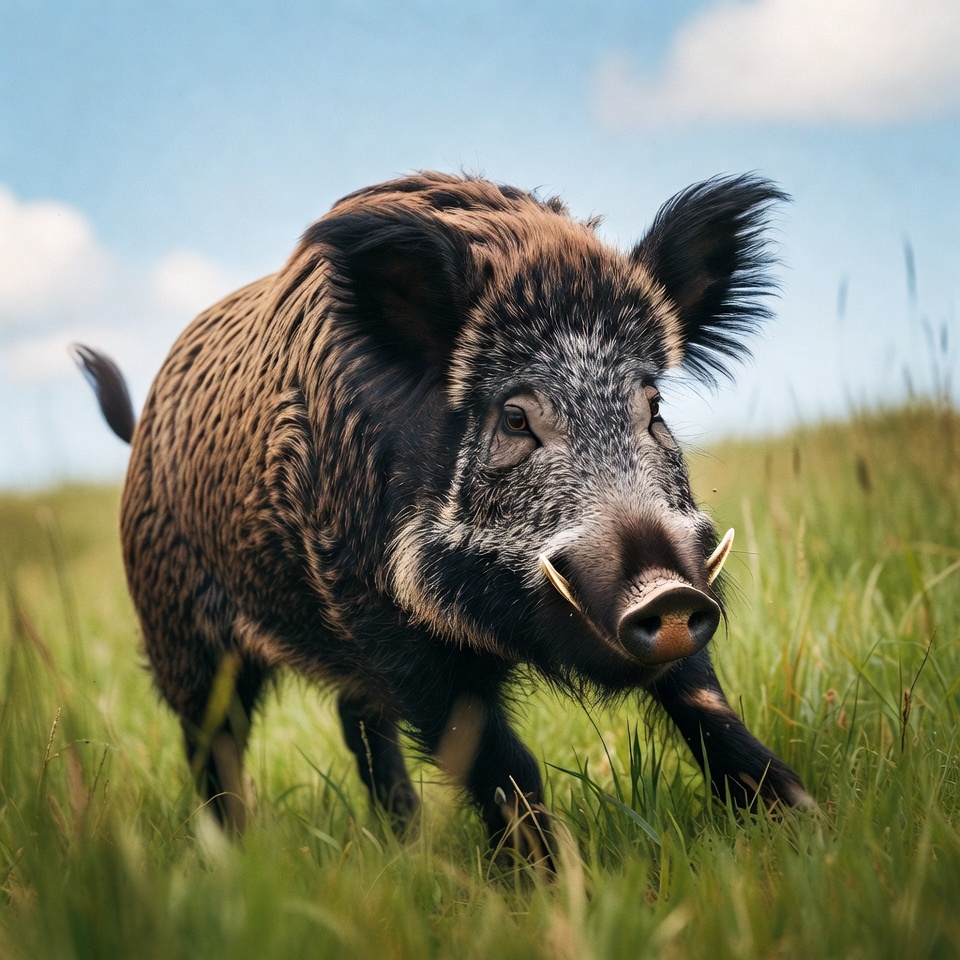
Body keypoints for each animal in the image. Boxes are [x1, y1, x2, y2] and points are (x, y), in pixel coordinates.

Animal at [74, 171, 812, 858]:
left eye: (653, 407)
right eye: (515, 418)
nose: (668, 594)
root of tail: (141, 428)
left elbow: (708, 708)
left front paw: (806, 823)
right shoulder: (388, 627)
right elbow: (499, 762)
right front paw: (552, 882)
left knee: (359, 725)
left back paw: (406, 846)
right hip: (182, 635)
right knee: (213, 744)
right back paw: (234, 858)